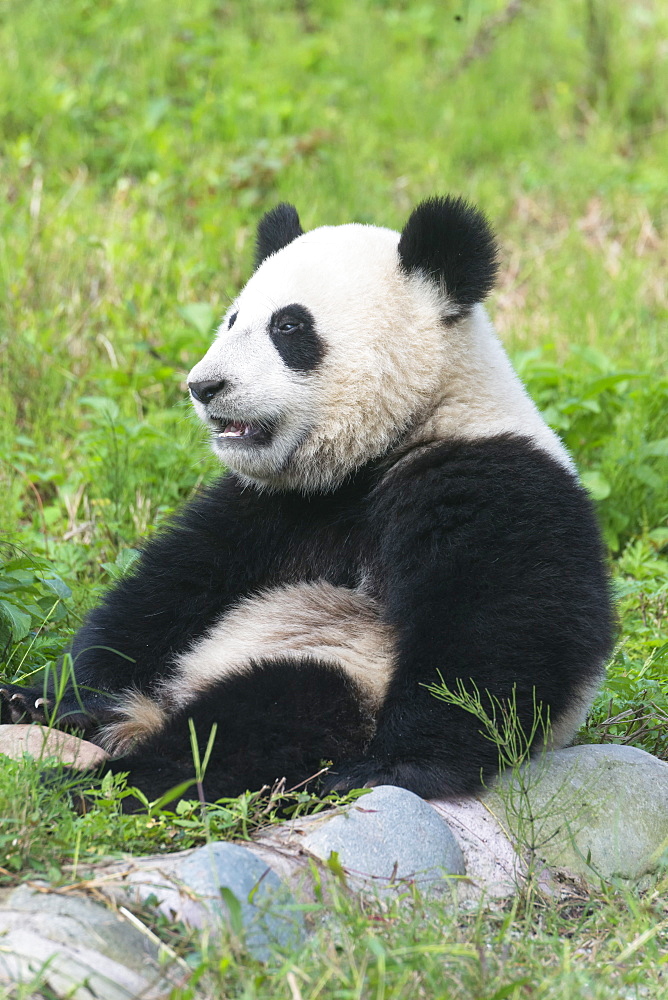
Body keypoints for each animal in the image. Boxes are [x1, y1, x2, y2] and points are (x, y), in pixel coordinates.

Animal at [1, 197, 616, 804]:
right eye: (233, 319)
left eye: (288, 326)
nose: (204, 386)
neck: (386, 447)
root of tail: (154, 710)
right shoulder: (273, 504)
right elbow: (165, 594)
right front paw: (56, 691)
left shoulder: (494, 479)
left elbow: (496, 632)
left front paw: (389, 767)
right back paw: (44, 709)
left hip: (337, 666)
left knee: (260, 721)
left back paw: (94, 780)